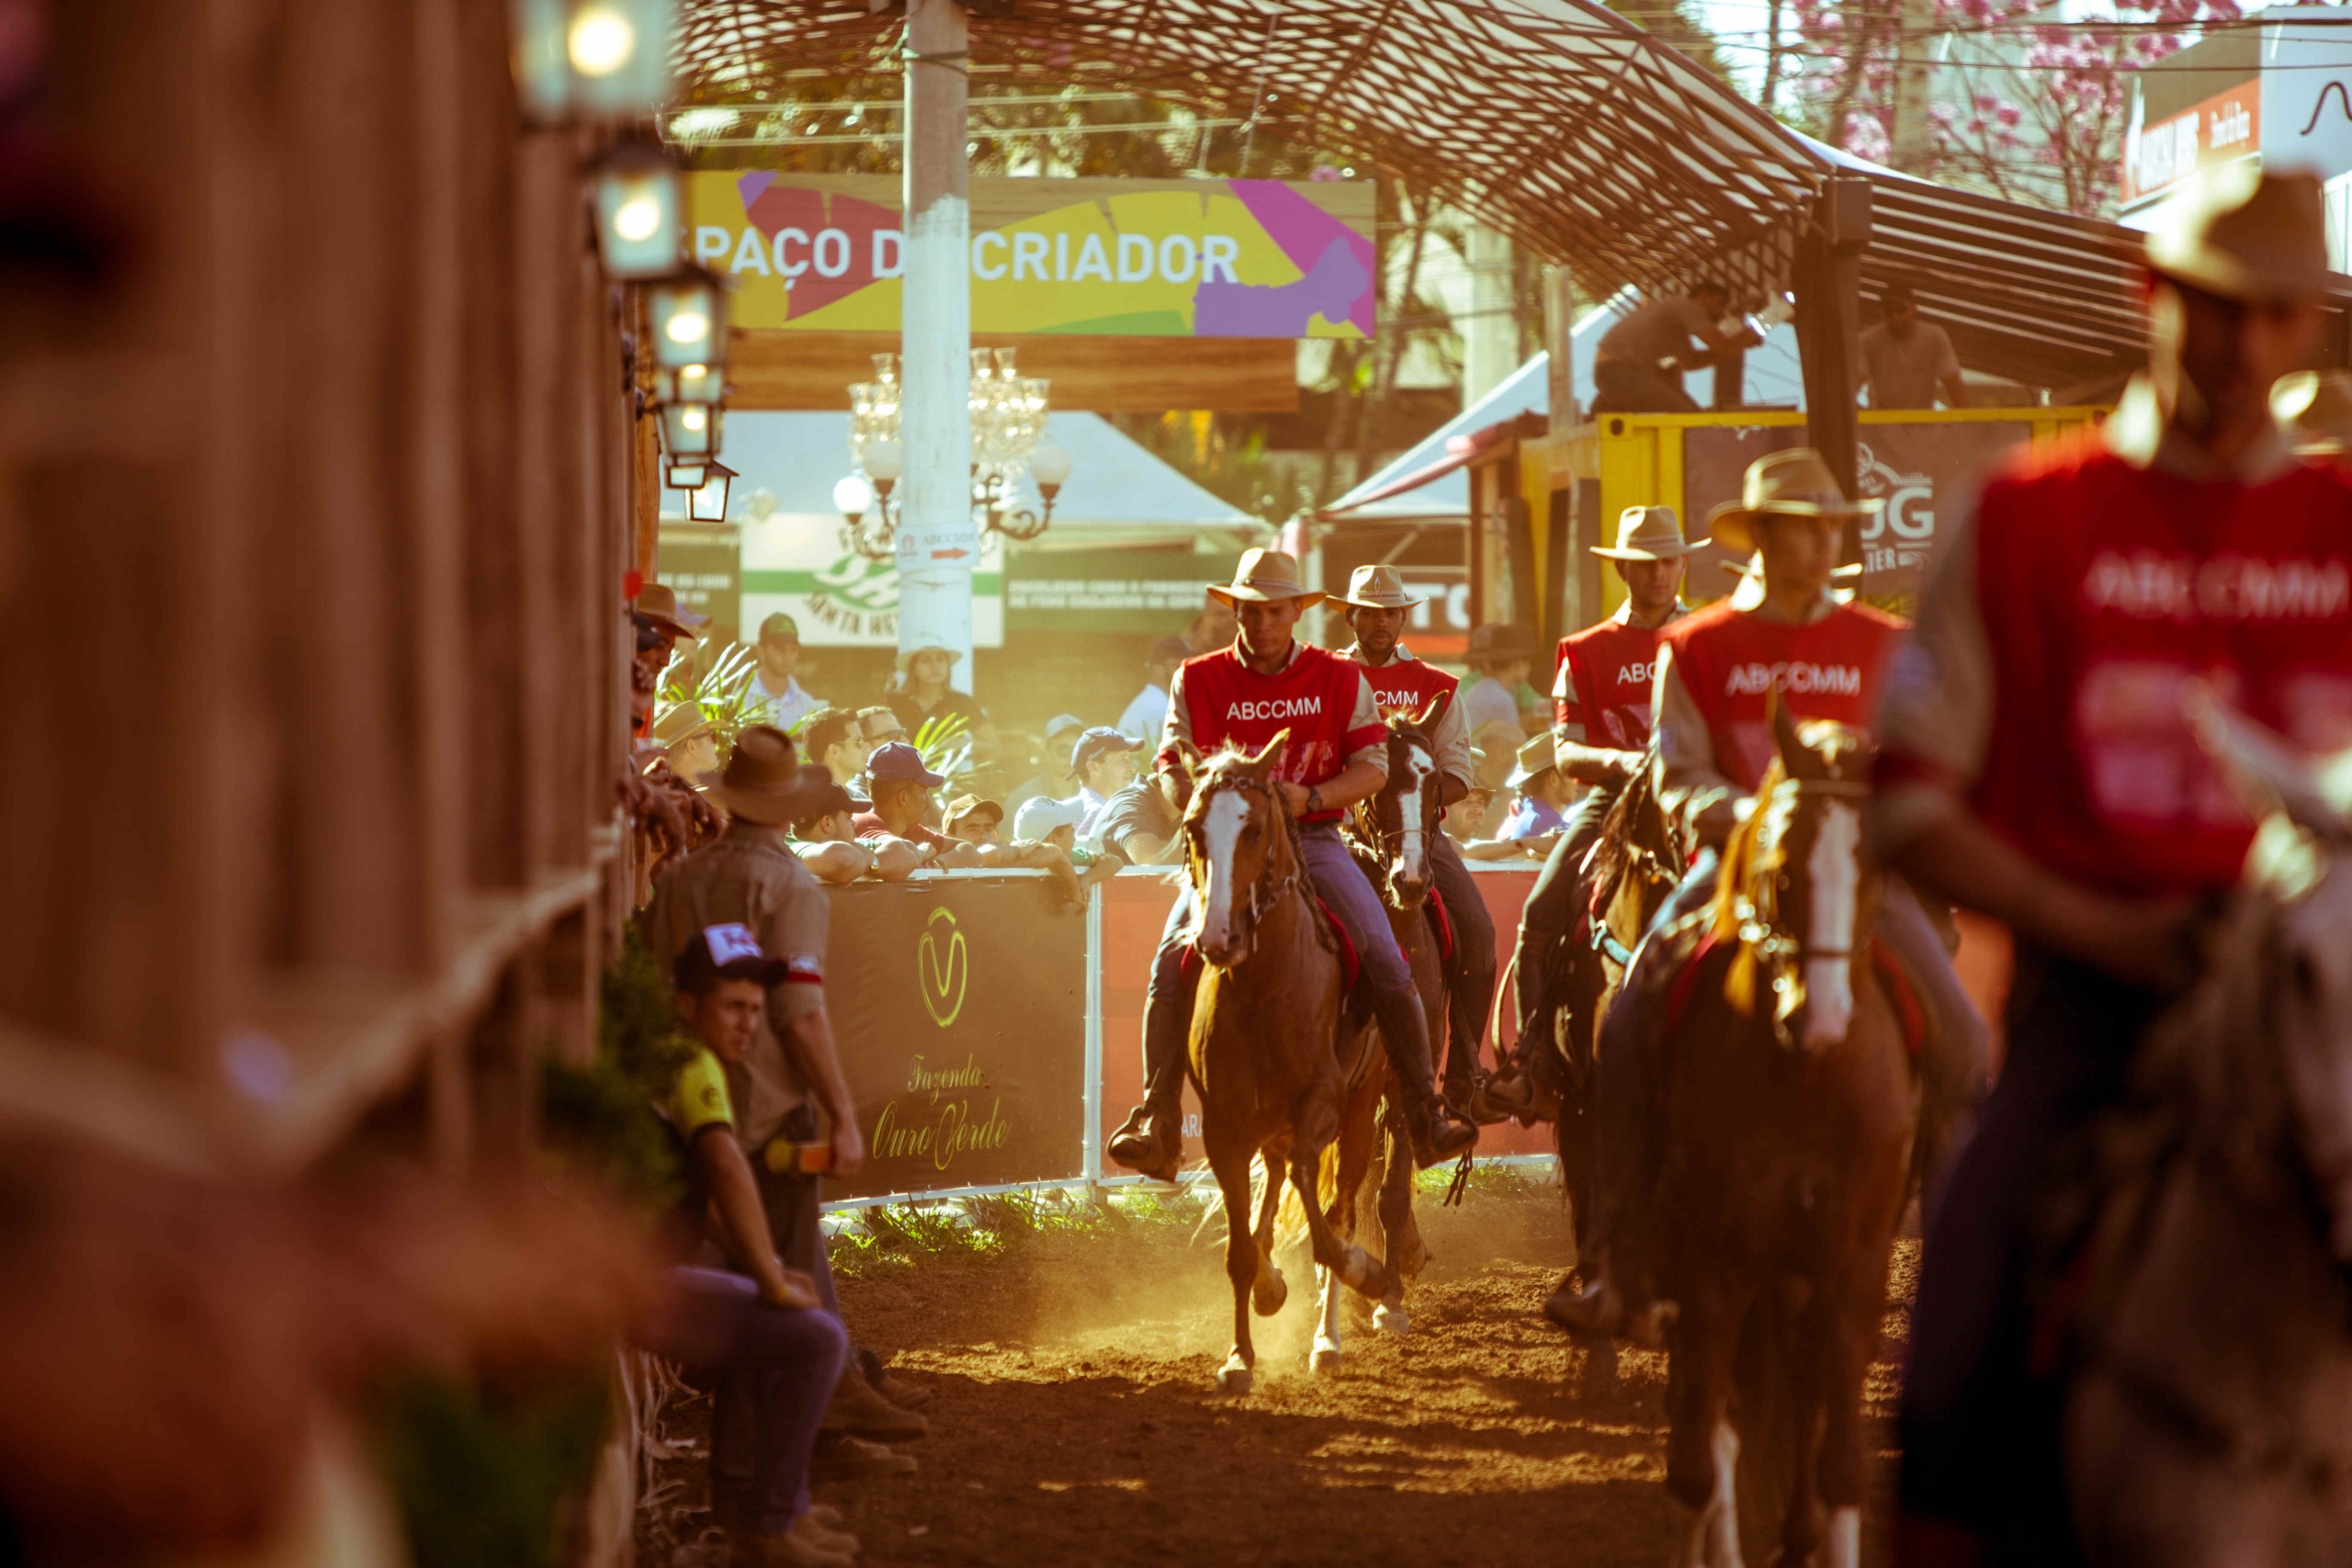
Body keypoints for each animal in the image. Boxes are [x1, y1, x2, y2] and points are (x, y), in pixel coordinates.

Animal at [1185, 728, 1383, 1392]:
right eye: (1193, 828)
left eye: (1252, 830)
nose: (1218, 938)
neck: (1264, 988)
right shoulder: (1223, 1126)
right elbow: (1241, 1248)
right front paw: (1240, 1355)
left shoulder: (1324, 1102)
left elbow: (1324, 1222)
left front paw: (1365, 1271)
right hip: (1266, 1122)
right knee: (1273, 1184)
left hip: (1363, 1108)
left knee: (1338, 1205)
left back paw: (1328, 1337)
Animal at [1656, 715, 1909, 1568]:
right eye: (1781, 868)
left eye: (1875, 870)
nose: (1820, 1015)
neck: (1806, 1078)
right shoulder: (1711, 1266)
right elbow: (1702, 1459)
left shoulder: (1851, 1267)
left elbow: (1838, 1466)